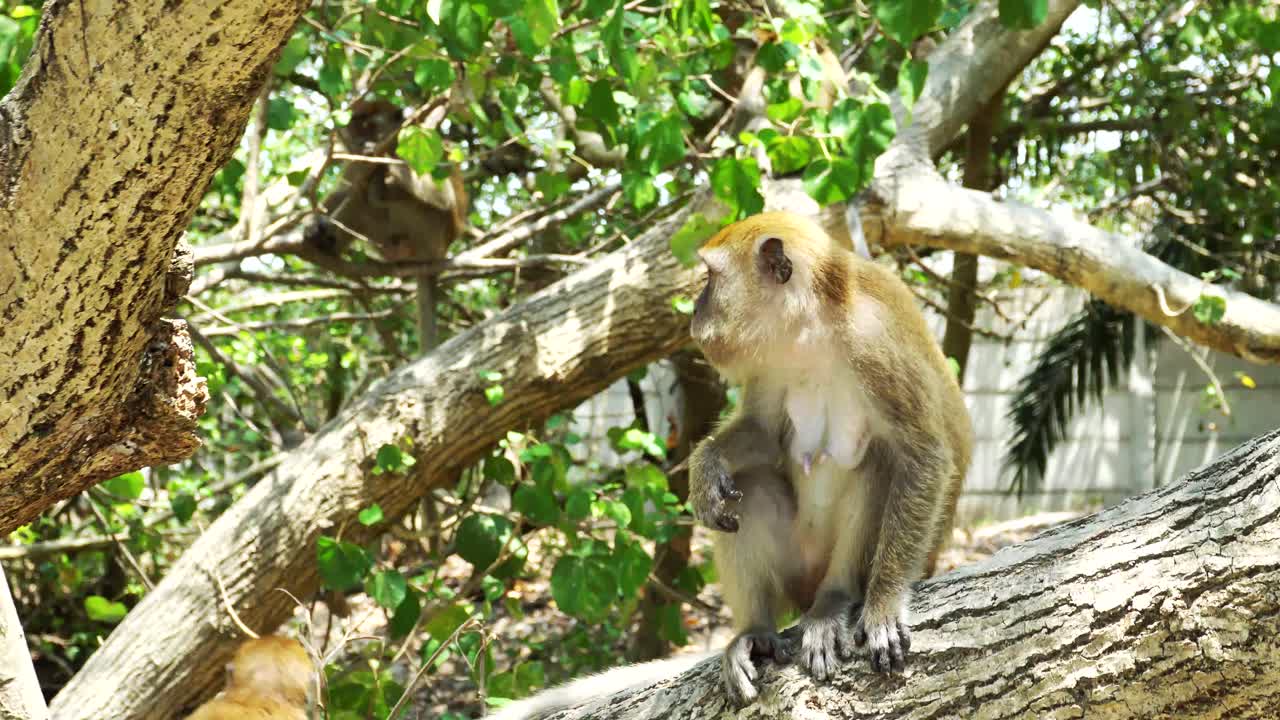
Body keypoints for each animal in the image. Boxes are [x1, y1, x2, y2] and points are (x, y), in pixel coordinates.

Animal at [305, 97, 469, 354]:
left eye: (370, 126)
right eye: (356, 127)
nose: (361, 142)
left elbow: (442, 197)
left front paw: (381, 156)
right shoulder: (357, 162)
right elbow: (342, 191)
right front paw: (311, 222)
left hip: (428, 234)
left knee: (385, 198)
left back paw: (377, 189)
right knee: (359, 199)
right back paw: (327, 242)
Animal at [686, 210, 971, 704]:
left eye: (710, 278)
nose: (694, 311)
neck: (811, 329)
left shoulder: (873, 342)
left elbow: (925, 456)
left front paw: (884, 602)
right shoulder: (768, 360)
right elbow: (764, 433)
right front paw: (705, 467)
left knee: (877, 463)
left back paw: (833, 602)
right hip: (795, 566)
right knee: (750, 488)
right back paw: (755, 632)